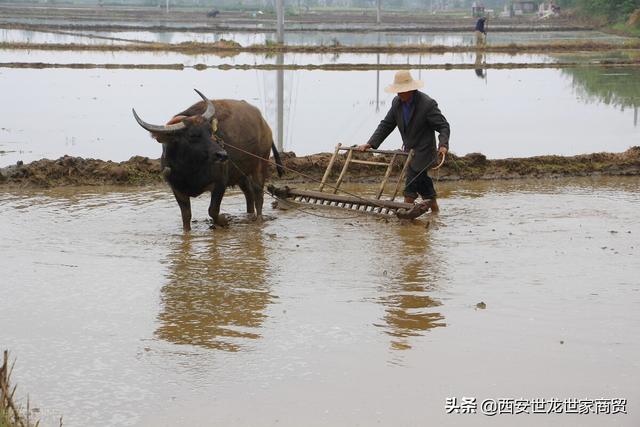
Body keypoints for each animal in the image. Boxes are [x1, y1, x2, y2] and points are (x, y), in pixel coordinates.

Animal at [132, 89, 282, 231]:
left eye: (210, 132)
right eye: (193, 135)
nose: (222, 154)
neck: (189, 169)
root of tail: (263, 122)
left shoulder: (220, 182)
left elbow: (213, 210)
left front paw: (223, 221)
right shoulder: (176, 188)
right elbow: (186, 216)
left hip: (261, 164)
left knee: (258, 195)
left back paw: (259, 219)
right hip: (241, 174)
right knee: (249, 194)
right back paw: (249, 215)